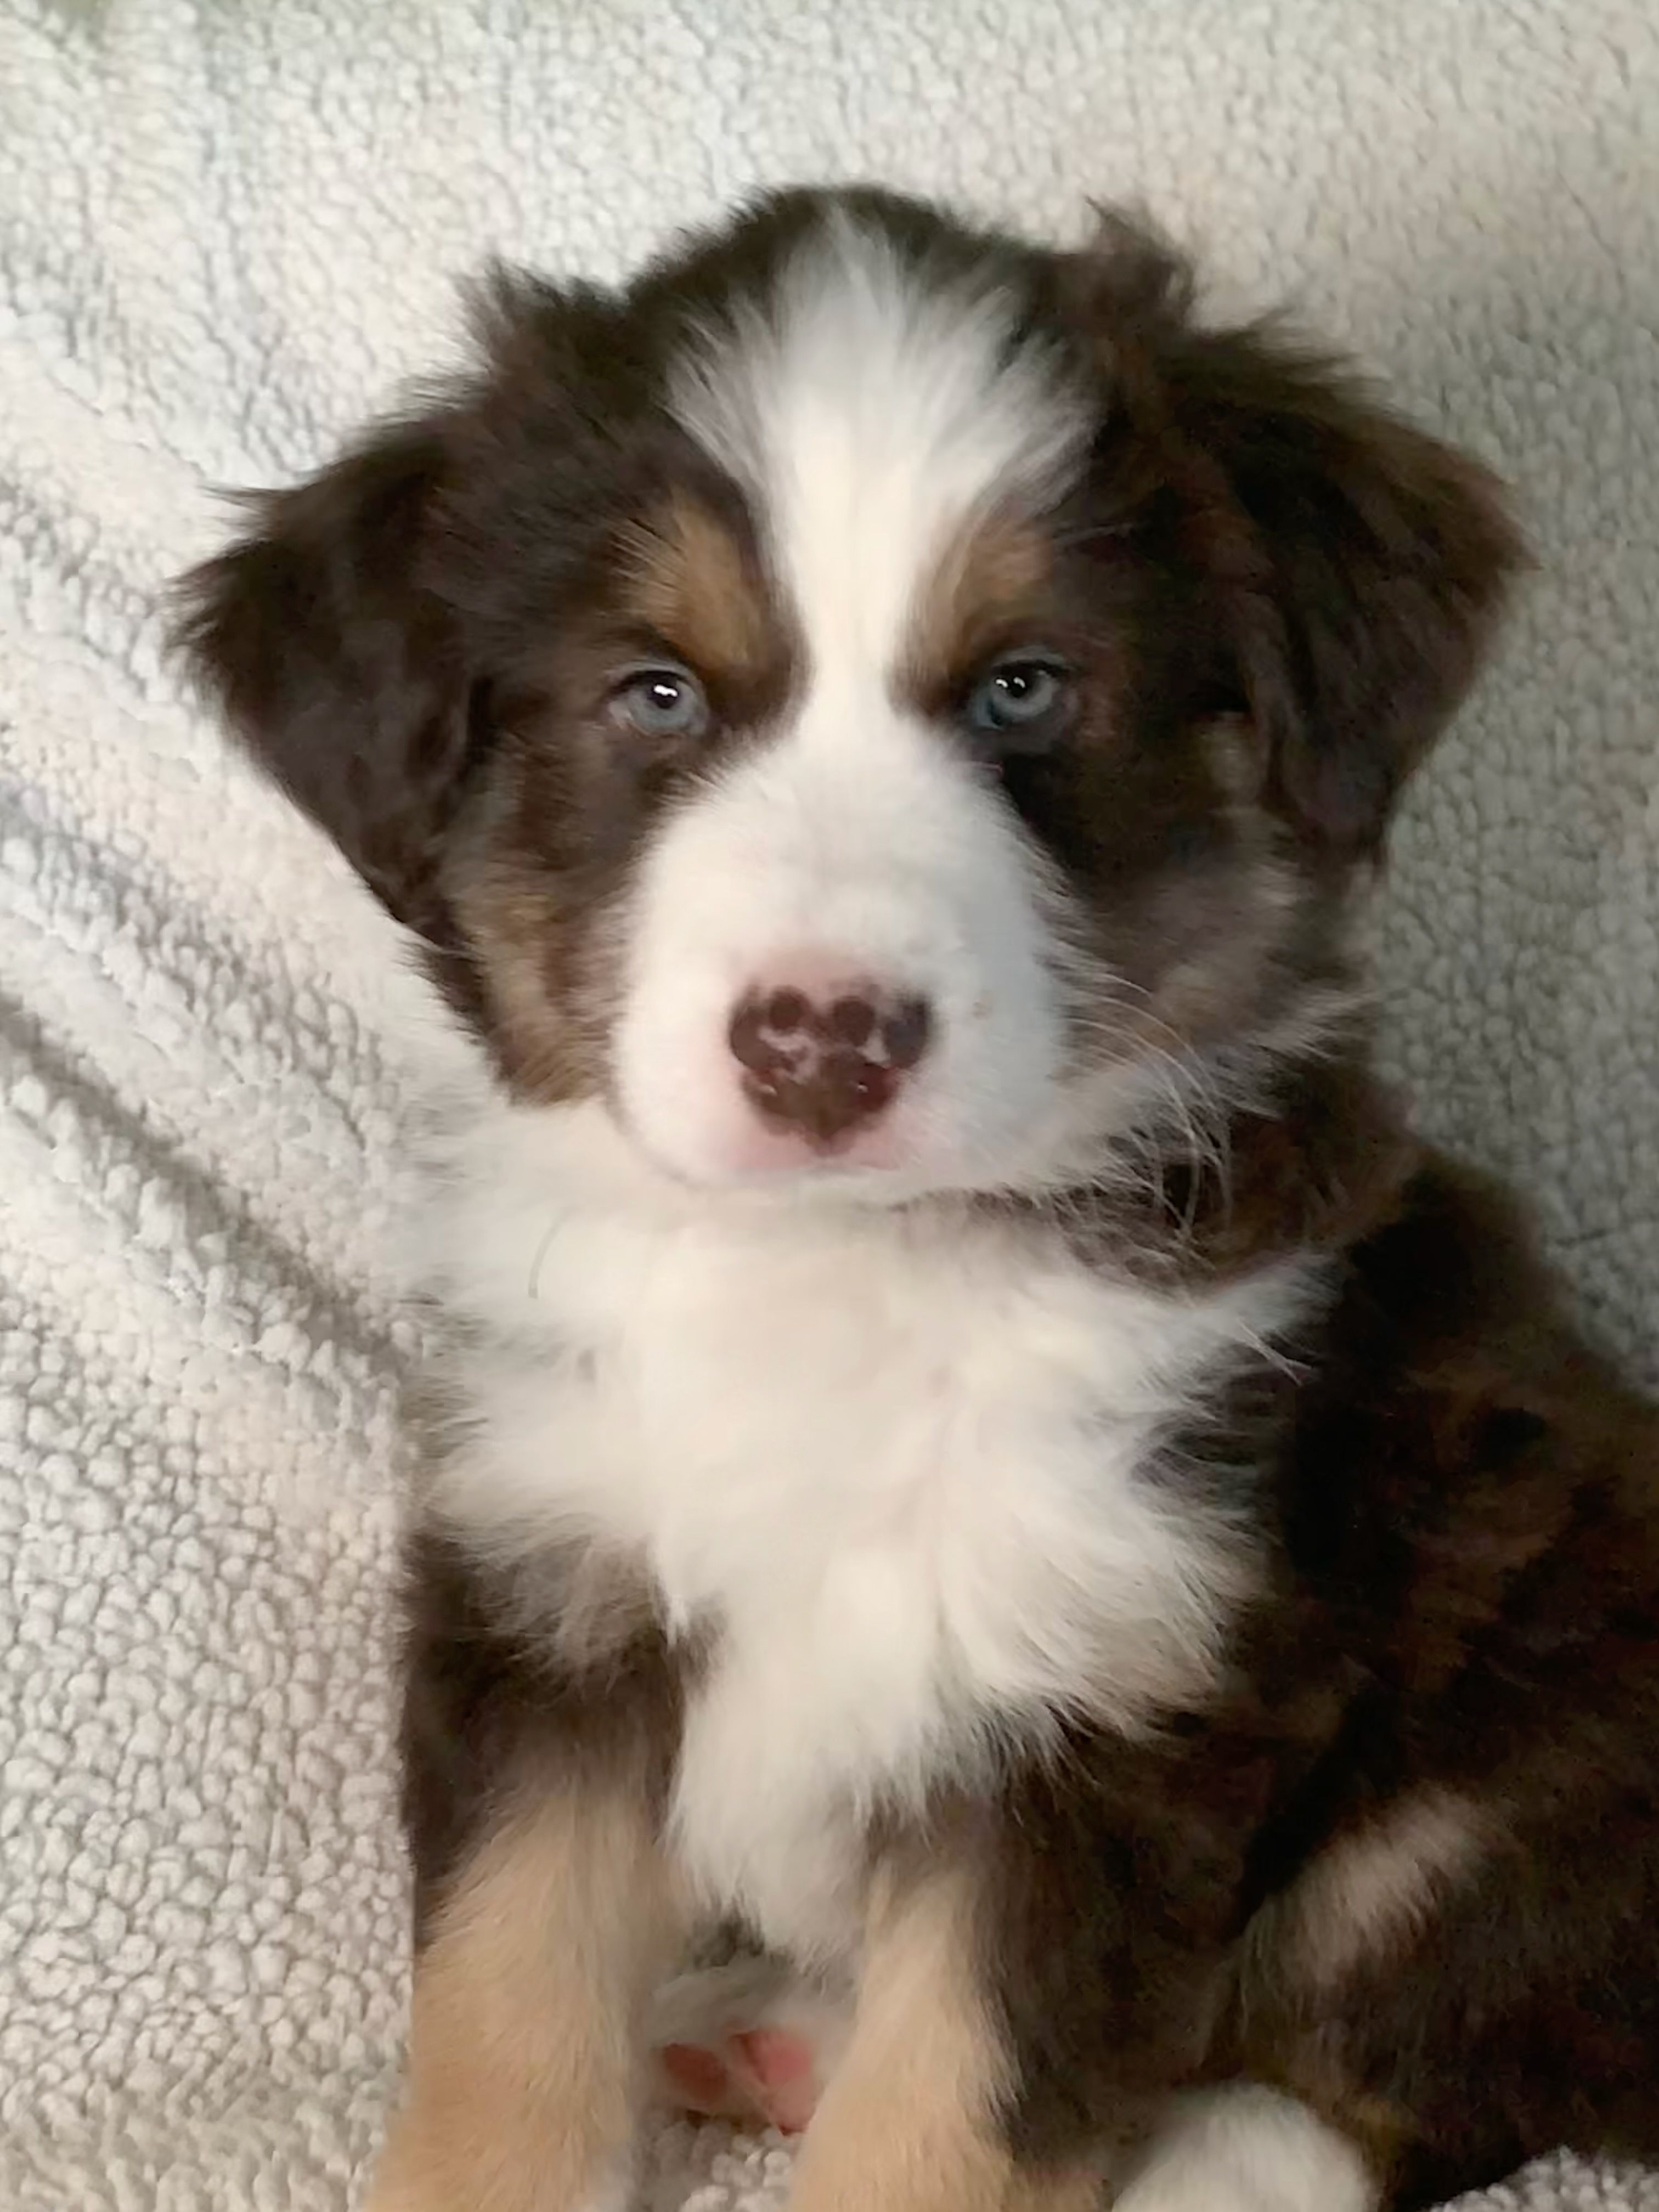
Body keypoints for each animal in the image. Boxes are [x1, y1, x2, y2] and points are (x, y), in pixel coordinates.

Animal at [176, 185, 1659, 2212]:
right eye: (654, 693)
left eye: (1024, 685)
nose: (823, 1041)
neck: (832, 1278)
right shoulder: (551, 1584)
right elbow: (506, 1992)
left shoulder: (1115, 1685)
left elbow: (961, 2096)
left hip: (1538, 1724)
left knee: (1420, 2040)